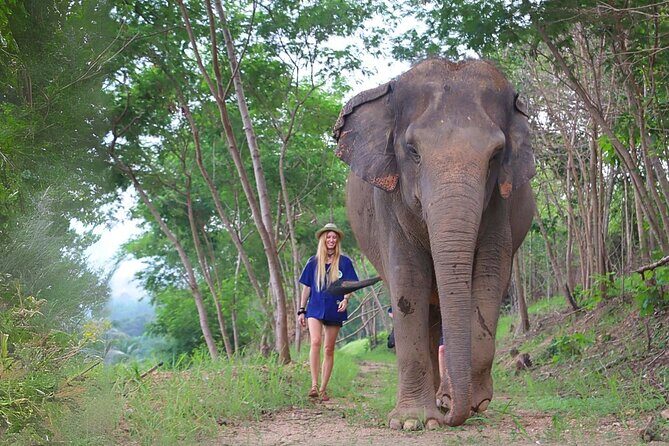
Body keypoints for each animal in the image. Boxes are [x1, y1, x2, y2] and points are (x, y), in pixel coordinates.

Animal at [332, 59, 536, 429]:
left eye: (496, 154)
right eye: (412, 151)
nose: (453, 413)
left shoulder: (500, 205)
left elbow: (489, 278)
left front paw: (473, 403)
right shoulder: (388, 202)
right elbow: (408, 281)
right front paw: (411, 422)